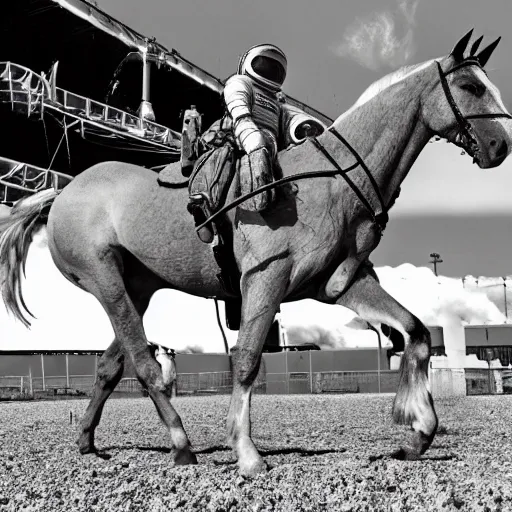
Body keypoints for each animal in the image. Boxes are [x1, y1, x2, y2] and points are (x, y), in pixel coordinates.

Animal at [1, 32, 512, 476]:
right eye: (470, 86)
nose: (501, 146)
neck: (328, 181)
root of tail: (63, 193)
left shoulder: (342, 283)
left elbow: (417, 332)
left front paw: (418, 431)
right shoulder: (266, 279)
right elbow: (246, 360)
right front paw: (246, 452)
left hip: (137, 288)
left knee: (110, 366)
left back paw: (88, 441)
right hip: (105, 279)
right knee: (144, 365)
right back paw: (181, 444)